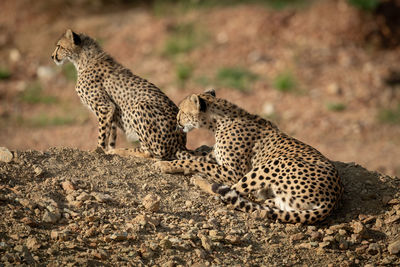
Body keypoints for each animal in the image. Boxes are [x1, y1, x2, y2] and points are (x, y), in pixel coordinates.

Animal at [50, 29, 187, 159]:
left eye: (59, 46)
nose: (52, 56)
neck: (83, 60)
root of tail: (181, 145)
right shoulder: (112, 112)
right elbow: (111, 134)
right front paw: (108, 149)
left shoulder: (105, 107)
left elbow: (102, 134)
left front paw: (98, 151)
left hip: (140, 106)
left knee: (151, 153)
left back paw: (120, 151)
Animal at [156, 90, 344, 224]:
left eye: (182, 111)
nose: (177, 121)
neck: (219, 121)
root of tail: (332, 199)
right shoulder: (214, 157)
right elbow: (194, 158)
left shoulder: (233, 172)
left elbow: (195, 163)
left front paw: (166, 165)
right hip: (284, 202)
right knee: (256, 201)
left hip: (275, 163)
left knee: (226, 194)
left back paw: (200, 181)